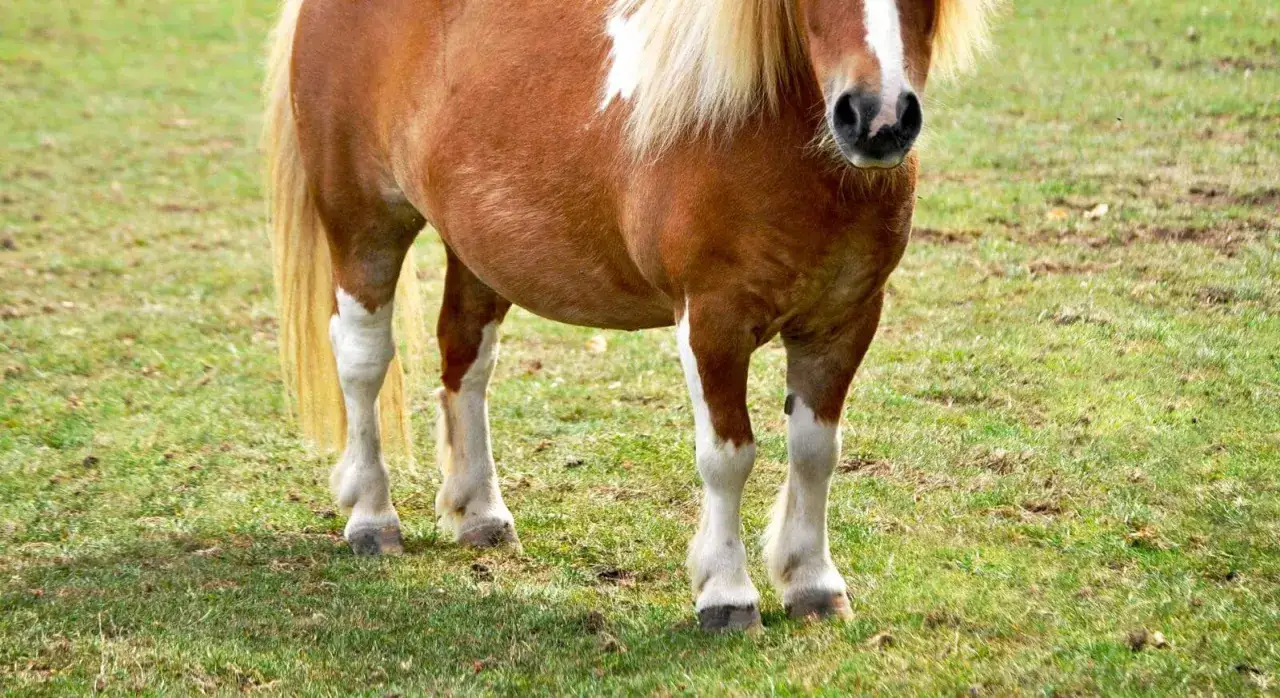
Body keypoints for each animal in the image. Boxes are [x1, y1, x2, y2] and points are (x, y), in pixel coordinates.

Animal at [264, 0, 997, 630]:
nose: (877, 118)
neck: (764, 127)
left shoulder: (843, 323)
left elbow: (816, 453)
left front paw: (812, 584)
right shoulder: (712, 323)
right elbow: (728, 457)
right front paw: (726, 595)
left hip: (476, 250)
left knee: (464, 359)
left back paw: (480, 515)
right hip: (363, 224)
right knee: (362, 361)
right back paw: (371, 518)